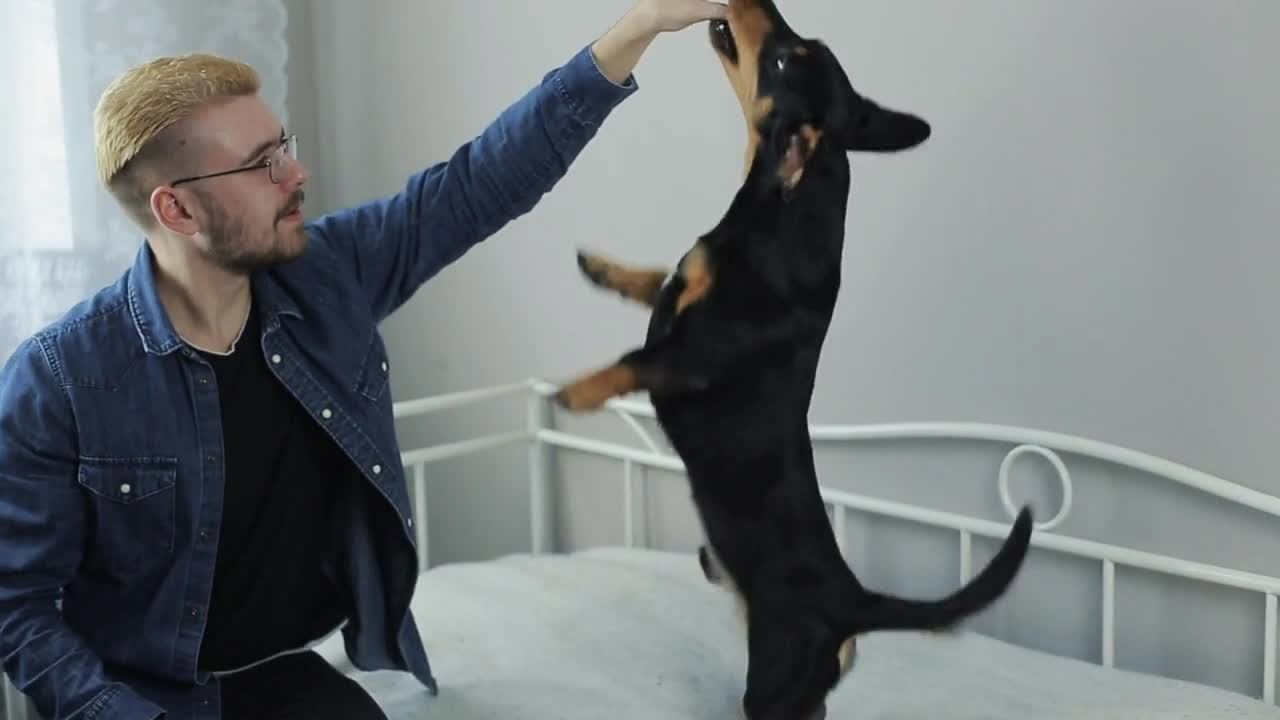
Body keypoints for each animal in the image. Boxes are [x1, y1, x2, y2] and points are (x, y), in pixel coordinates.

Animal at [550, 2, 1029, 712]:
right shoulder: (676, 299)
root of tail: (853, 601)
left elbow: (630, 359)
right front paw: (603, 268)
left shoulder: (686, 358)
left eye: (781, 58)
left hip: (774, 680)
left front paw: (576, 392)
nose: (756, 5)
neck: (779, 206)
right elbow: (659, 277)